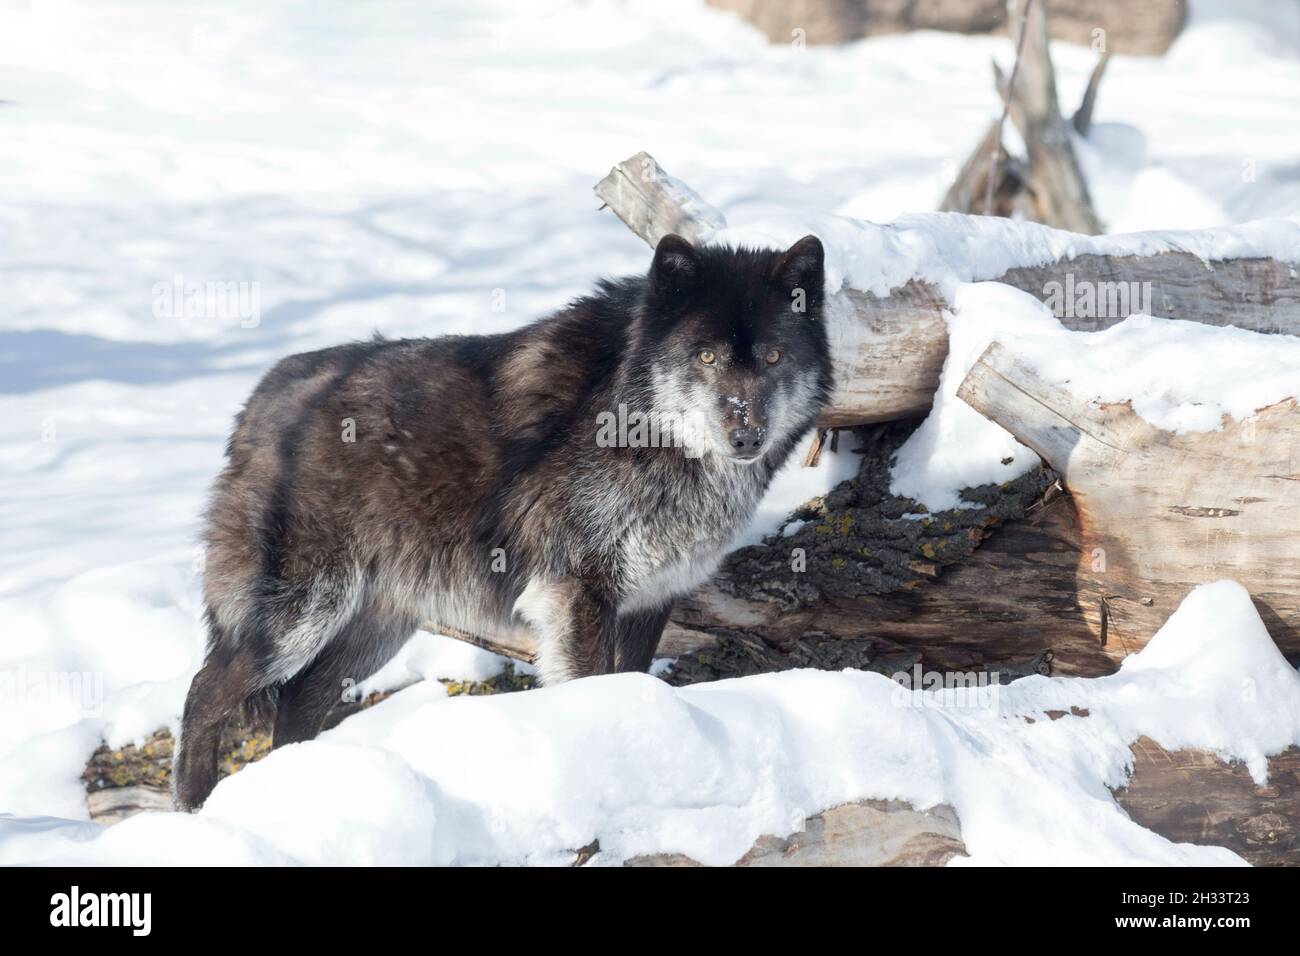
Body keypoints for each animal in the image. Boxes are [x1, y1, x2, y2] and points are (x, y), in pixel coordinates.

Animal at [175, 231, 832, 806]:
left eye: (773, 356)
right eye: (707, 356)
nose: (746, 435)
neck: (639, 421)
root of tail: (262, 396)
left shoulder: (650, 598)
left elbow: (632, 678)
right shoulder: (576, 592)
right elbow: (592, 685)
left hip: (373, 629)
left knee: (295, 706)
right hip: (301, 615)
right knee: (205, 690)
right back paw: (196, 808)